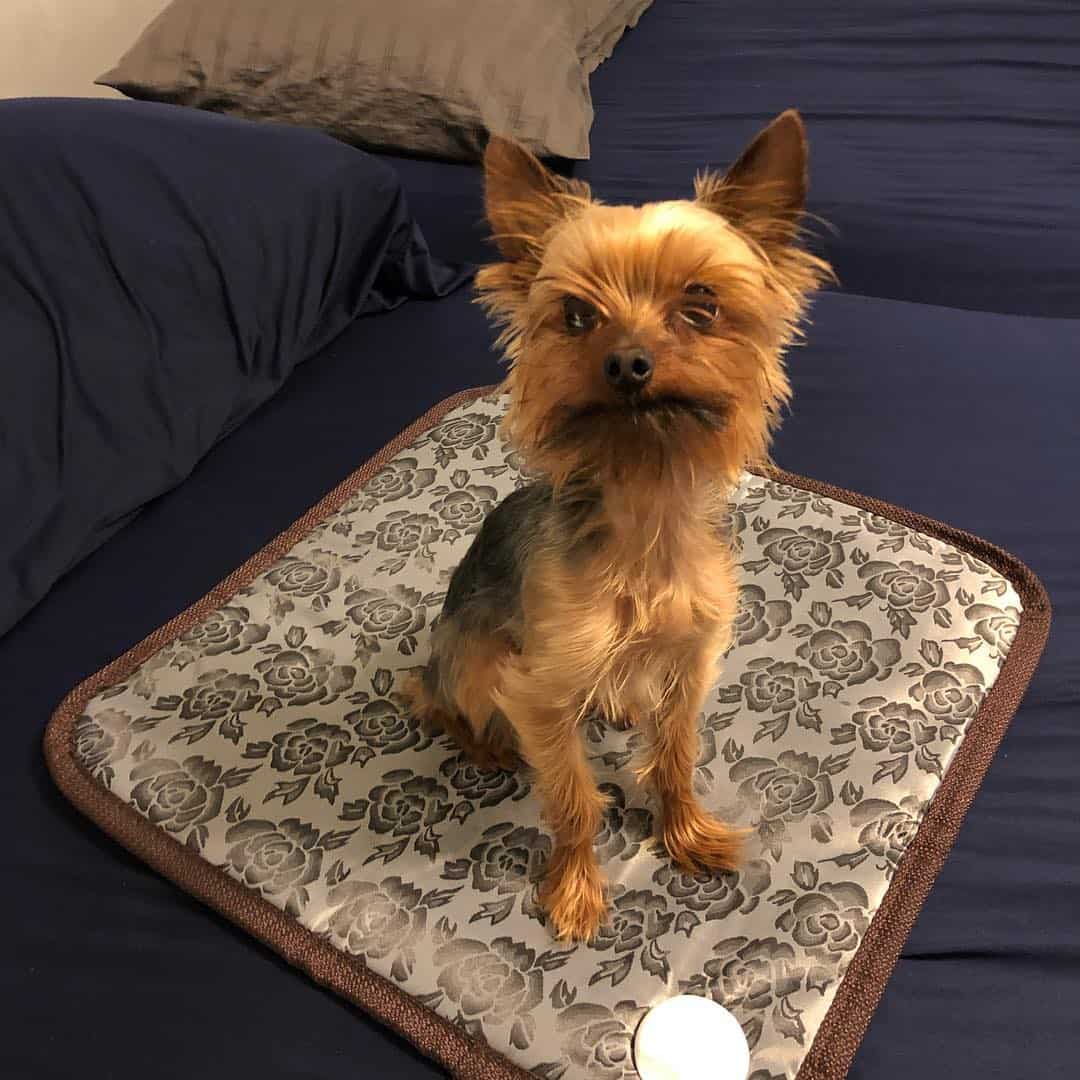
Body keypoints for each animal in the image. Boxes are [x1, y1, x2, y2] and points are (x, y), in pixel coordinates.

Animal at [408, 105, 829, 941]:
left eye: (702, 304)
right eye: (575, 316)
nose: (628, 362)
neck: (647, 504)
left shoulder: (690, 660)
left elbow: (674, 756)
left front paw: (686, 832)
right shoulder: (541, 691)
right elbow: (573, 798)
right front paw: (574, 888)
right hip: (468, 657)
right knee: (440, 700)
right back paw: (483, 746)